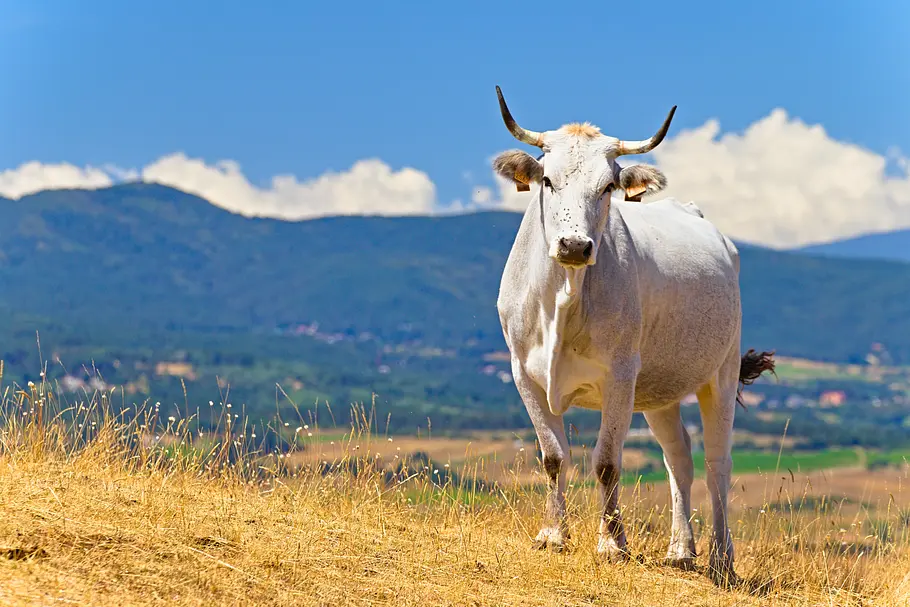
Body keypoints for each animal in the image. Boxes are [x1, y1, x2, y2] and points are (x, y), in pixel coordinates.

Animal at [492, 85, 775, 586]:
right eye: (547, 181)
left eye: (608, 187)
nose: (574, 245)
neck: (565, 298)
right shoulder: (524, 372)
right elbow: (553, 456)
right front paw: (552, 535)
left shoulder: (620, 377)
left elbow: (606, 462)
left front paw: (612, 544)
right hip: (659, 390)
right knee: (679, 457)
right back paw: (681, 552)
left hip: (719, 374)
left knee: (717, 464)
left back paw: (721, 558)